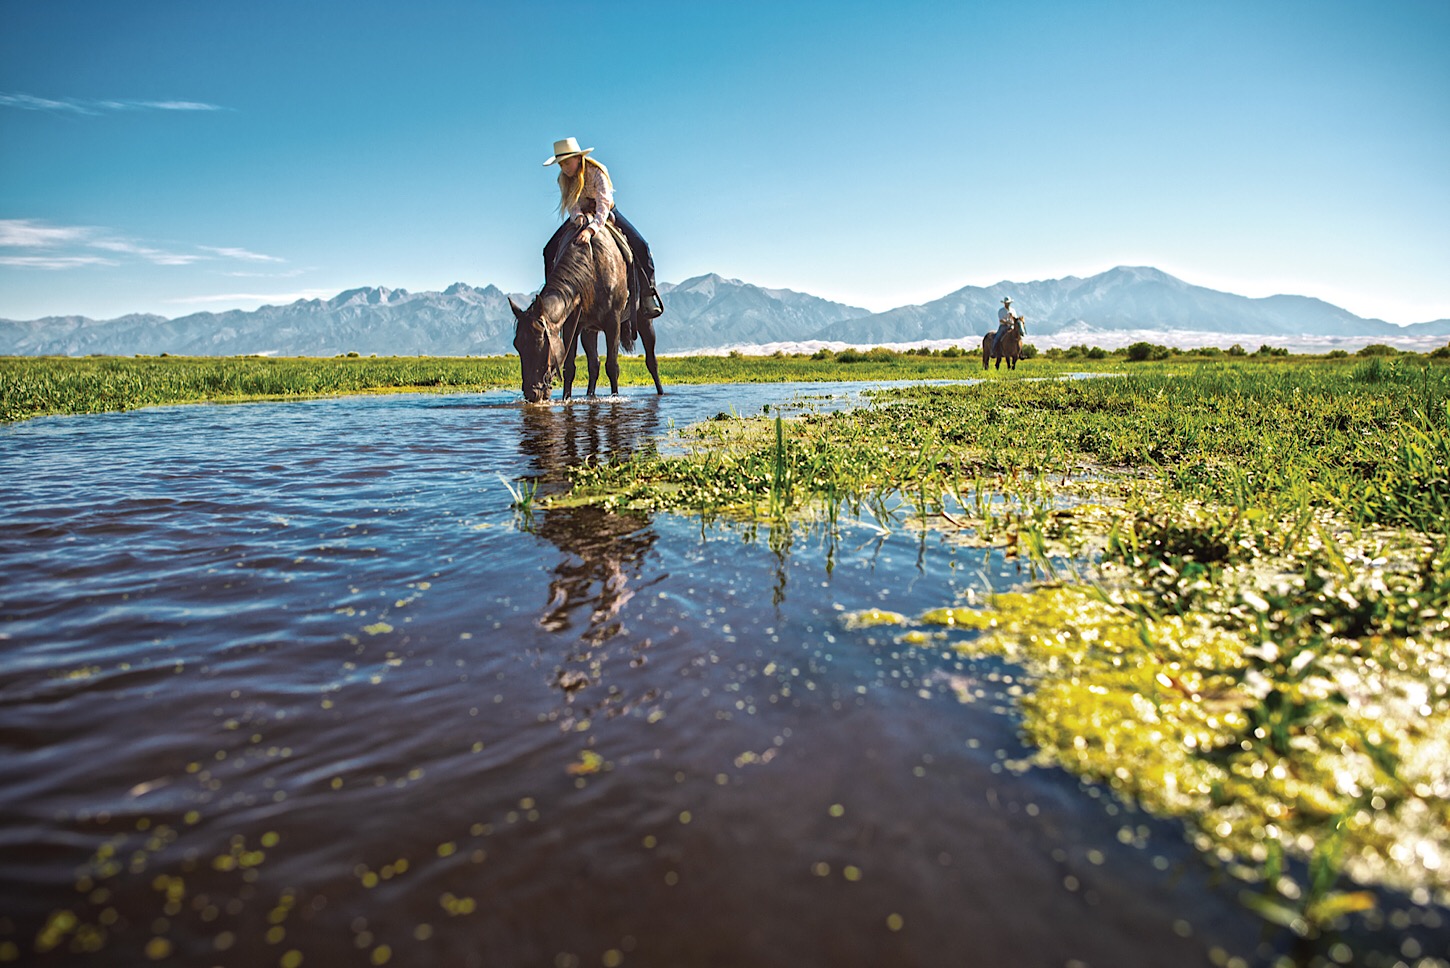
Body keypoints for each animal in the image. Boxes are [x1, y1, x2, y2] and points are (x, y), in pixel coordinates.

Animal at [513, 217, 664, 402]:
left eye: (541, 343)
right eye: (517, 345)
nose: (531, 393)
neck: (593, 266)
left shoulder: (613, 322)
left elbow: (612, 366)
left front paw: (615, 397)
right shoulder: (571, 325)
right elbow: (570, 368)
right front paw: (566, 399)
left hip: (644, 320)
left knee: (651, 360)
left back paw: (660, 392)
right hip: (589, 330)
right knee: (594, 364)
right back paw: (590, 395)